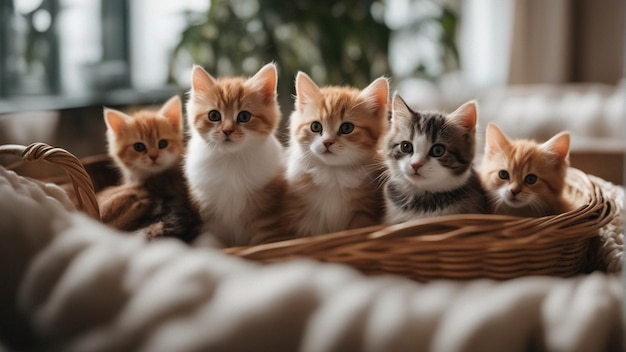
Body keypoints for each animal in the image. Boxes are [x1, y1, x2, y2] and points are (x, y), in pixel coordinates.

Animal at [183, 62, 286, 246]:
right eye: (214, 115)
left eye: (244, 116)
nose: (227, 131)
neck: (231, 160)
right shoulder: (208, 216)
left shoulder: (267, 215)